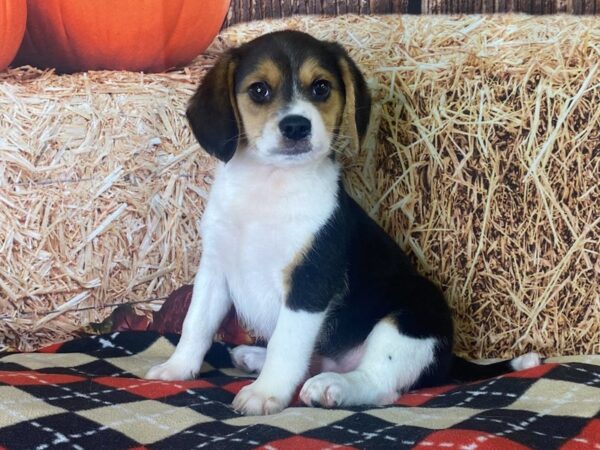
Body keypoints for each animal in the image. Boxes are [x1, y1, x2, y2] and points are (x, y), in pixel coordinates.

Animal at [146, 31, 544, 416]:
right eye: (259, 90)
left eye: (321, 87)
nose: (296, 126)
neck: (270, 185)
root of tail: (449, 357)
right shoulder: (215, 270)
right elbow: (196, 324)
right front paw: (177, 368)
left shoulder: (310, 282)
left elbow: (286, 345)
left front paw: (266, 393)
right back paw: (255, 356)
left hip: (410, 314)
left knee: (380, 383)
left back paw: (332, 386)